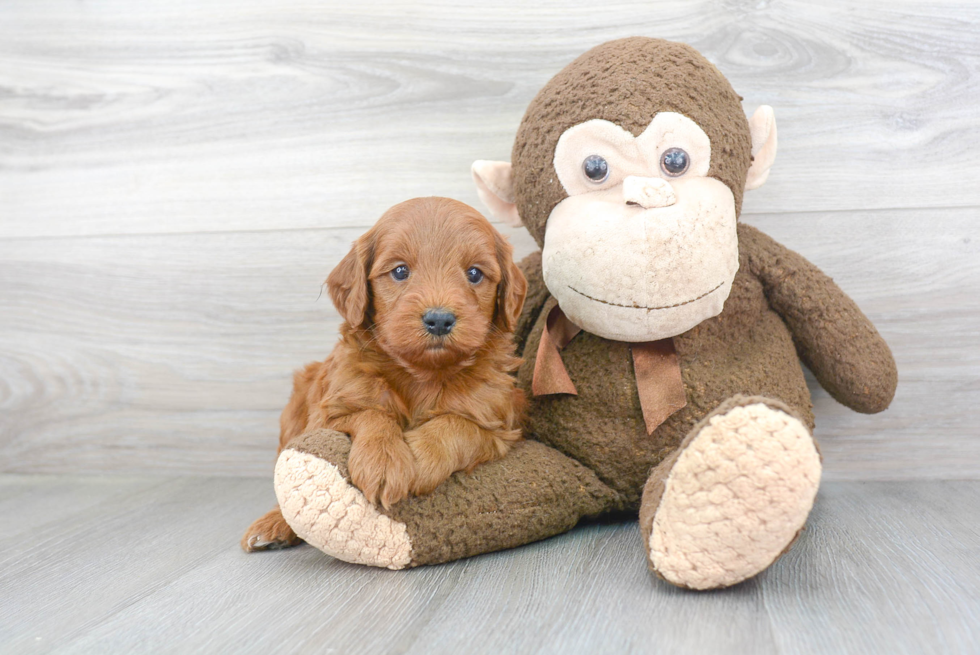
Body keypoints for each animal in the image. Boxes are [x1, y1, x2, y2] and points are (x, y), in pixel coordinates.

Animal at [240, 197, 524, 552]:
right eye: (400, 271)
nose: (439, 320)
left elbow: (458, 425)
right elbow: (371, 413)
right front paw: (384, 460)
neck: (422, 374)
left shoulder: (497, 423)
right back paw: (274, 525)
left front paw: (420, 457)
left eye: (475, 273)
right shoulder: (330, 410)